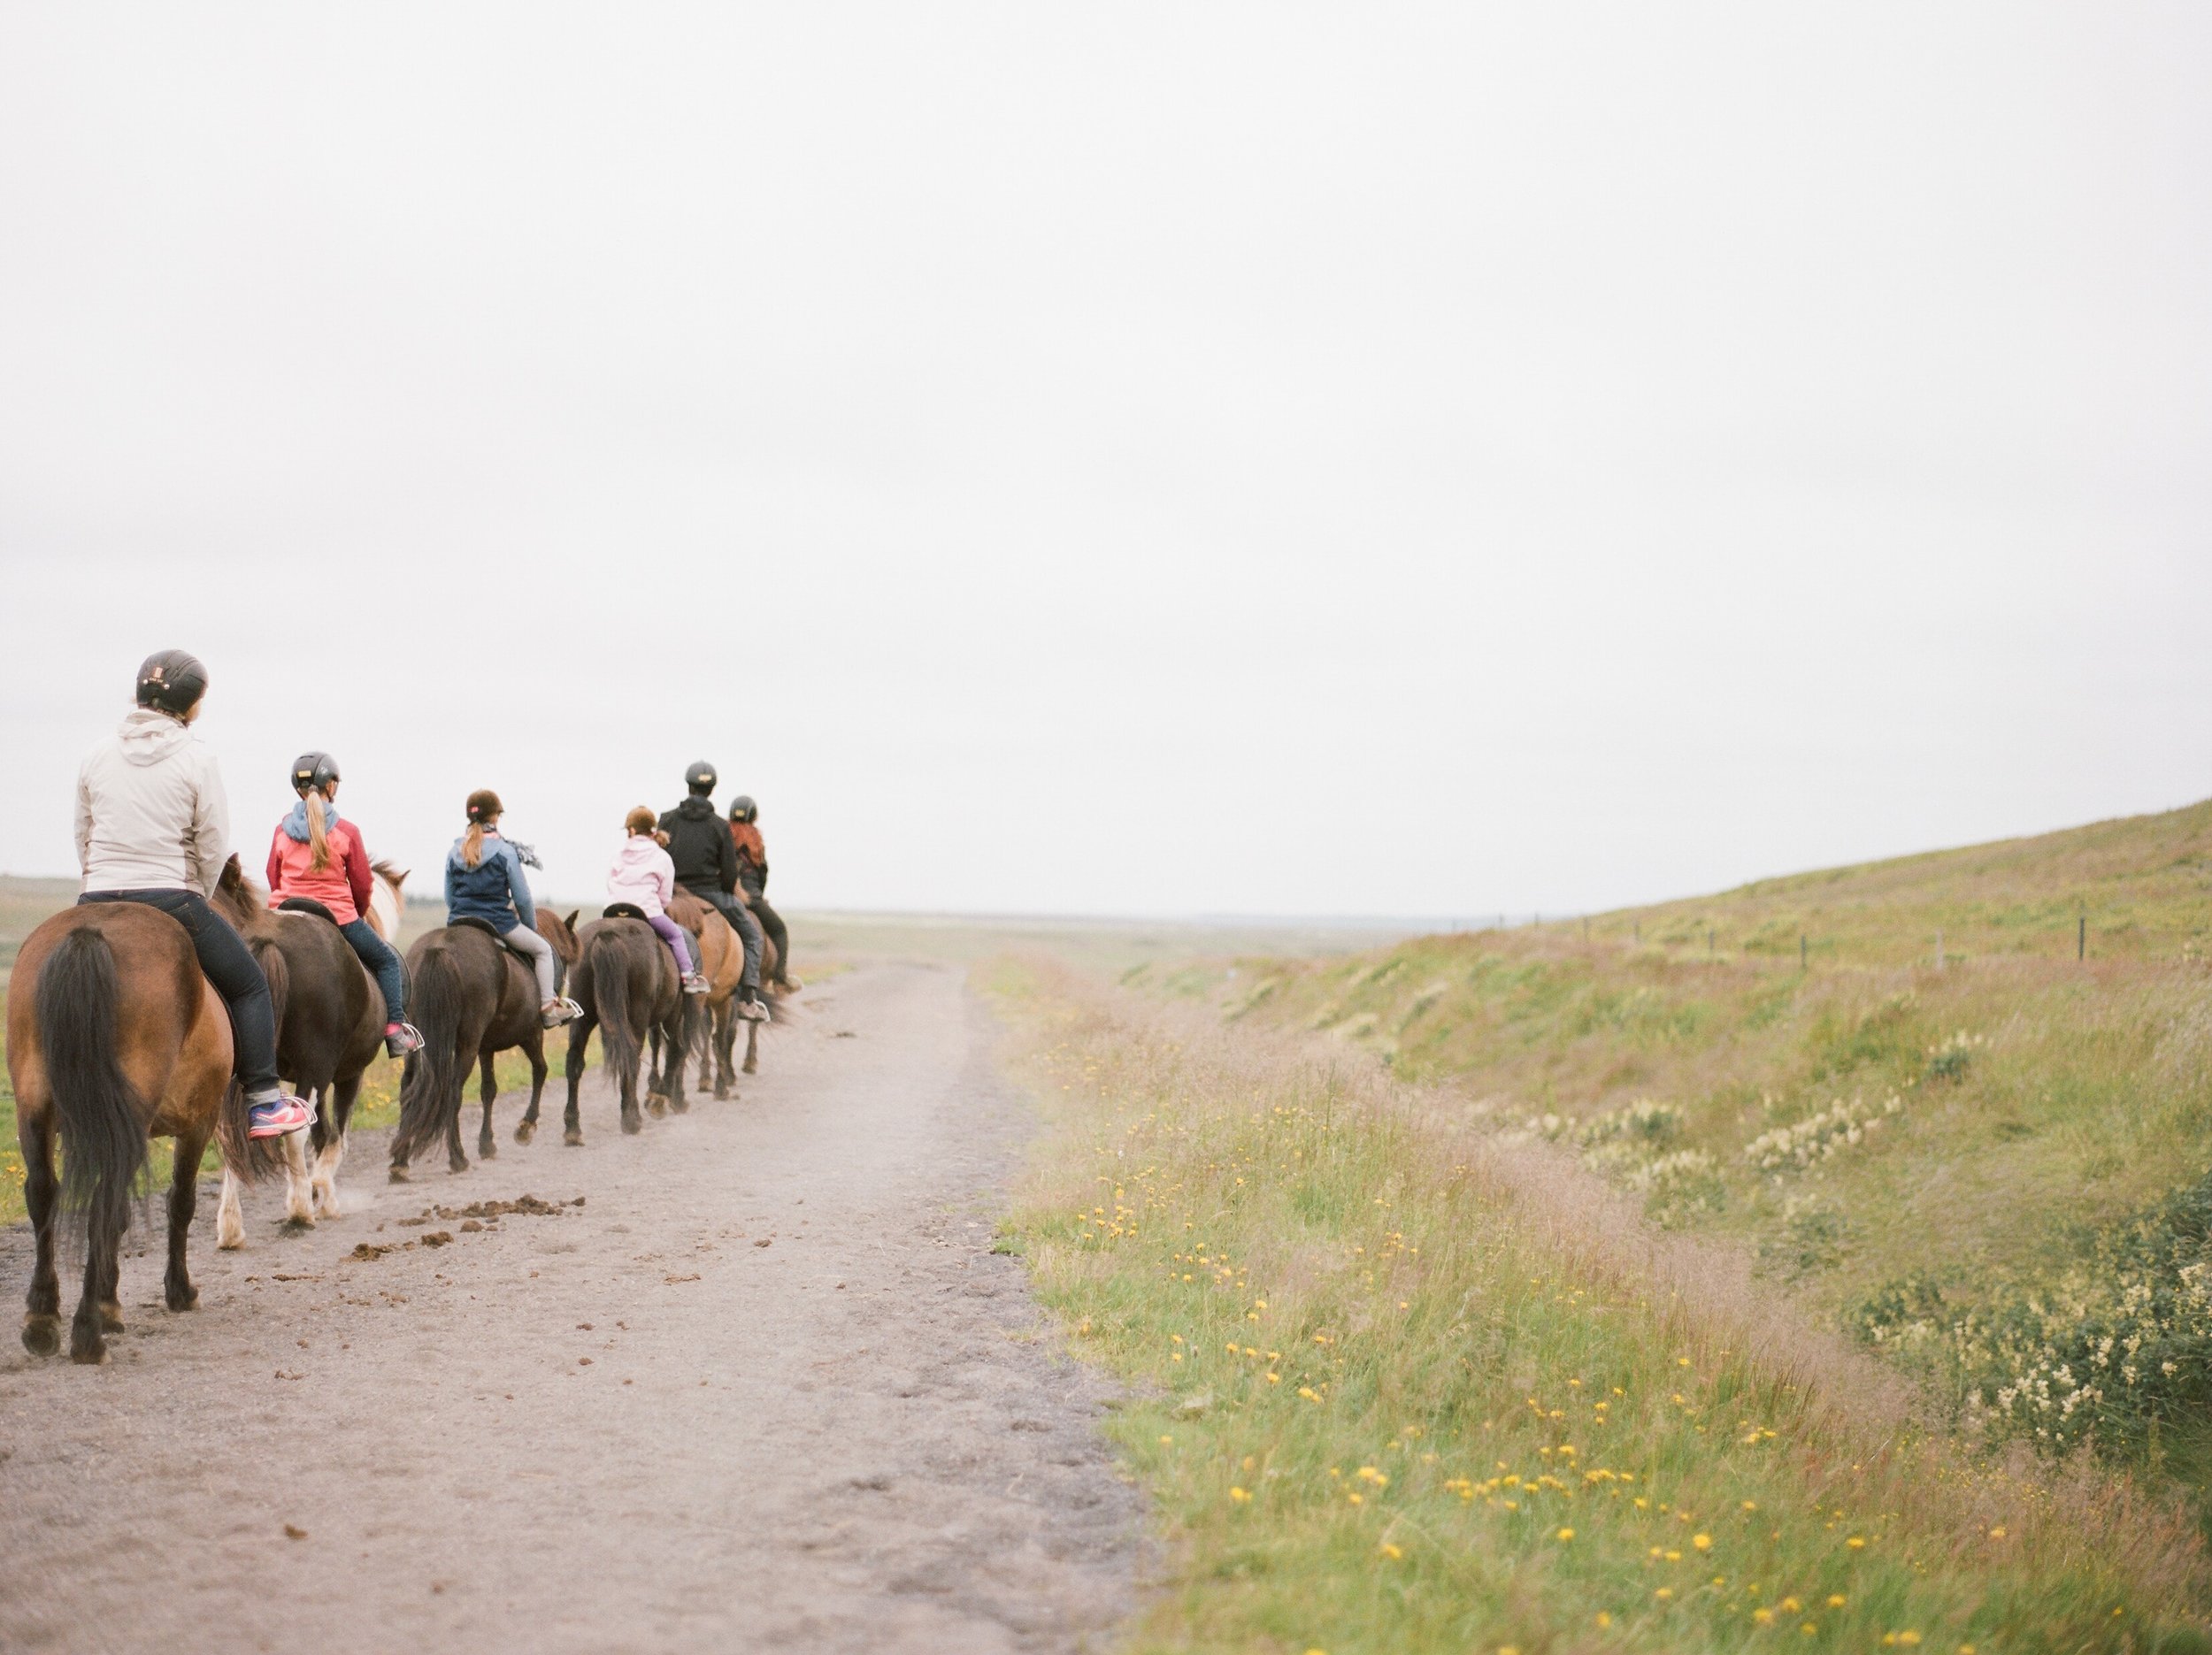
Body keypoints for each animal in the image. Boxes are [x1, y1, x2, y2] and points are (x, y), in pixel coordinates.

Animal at [6, 907, 263, 1353]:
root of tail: (90, 934)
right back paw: (87, 1333)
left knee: (43, 1196)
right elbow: (180, 1203)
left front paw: (110, 1304)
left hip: (35, 1108)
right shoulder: (198, 1123)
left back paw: (42, 1319)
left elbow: (124, 1215)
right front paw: (177, 1291)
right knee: (101, 1207)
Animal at [208, 854, 389, 1238]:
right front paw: (323, 1194)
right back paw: (301, 1209)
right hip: (316, 1071)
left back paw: (231, 1227)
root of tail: (267, 939)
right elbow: (334, 1136)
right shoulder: (349, 1075)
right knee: (297, 1133)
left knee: (231, 1135)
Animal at [387, 916, 580, 1176]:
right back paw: (457, 1157)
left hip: (418, 1044)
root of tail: (439, 948)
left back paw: (400, 1162)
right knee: (453, 1091)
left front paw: (486, 1144)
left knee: (408, 1087)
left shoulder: (486, 1048)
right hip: (468, 1045)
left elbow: (489, 1090)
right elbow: (540, 1071)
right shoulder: (532, 1035)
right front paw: (525, 1127)